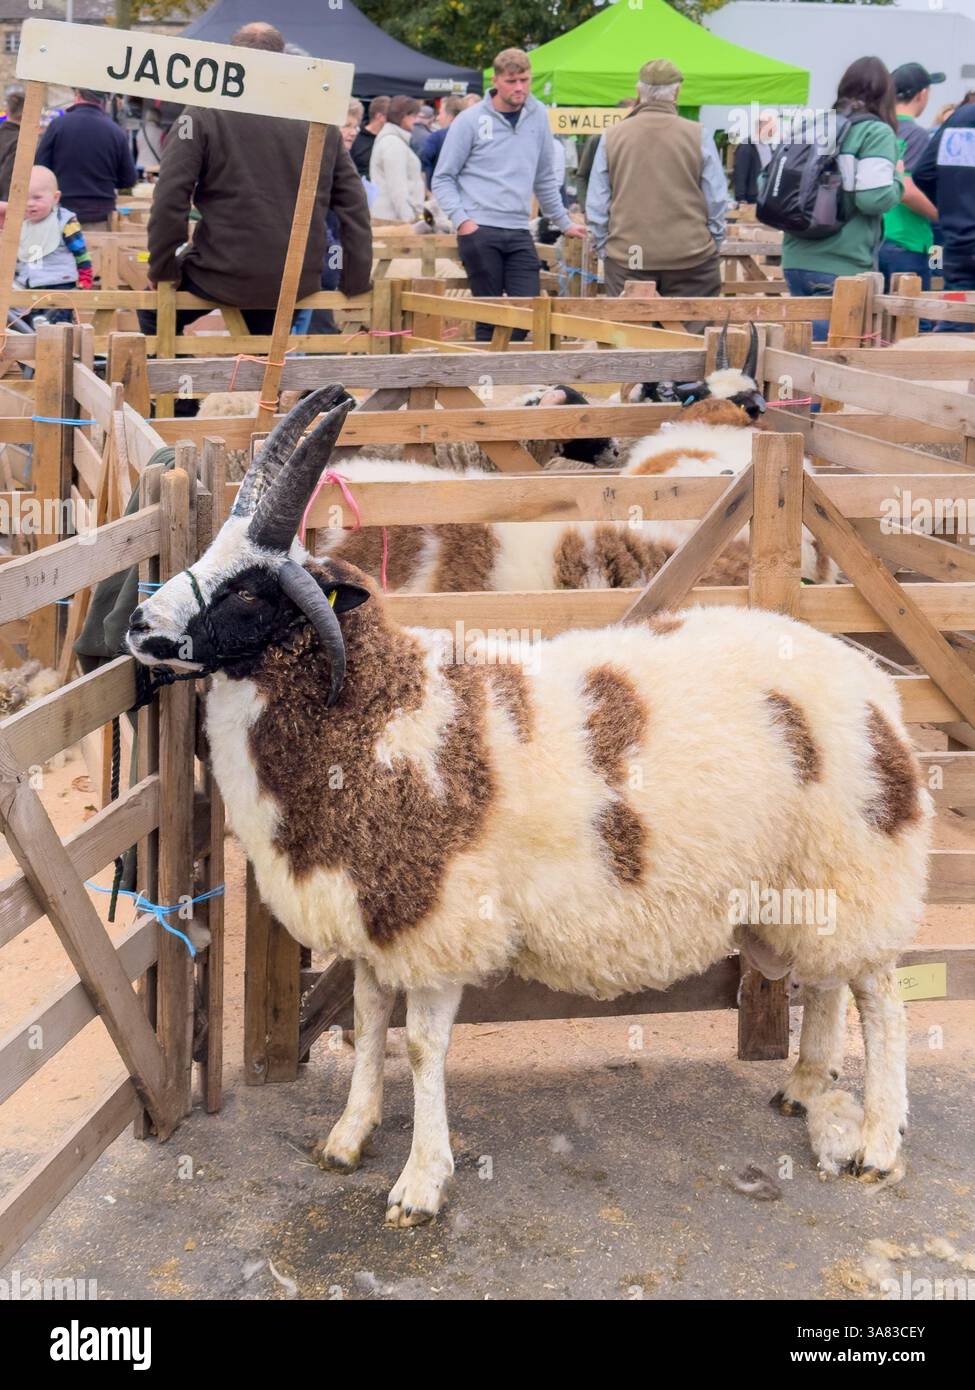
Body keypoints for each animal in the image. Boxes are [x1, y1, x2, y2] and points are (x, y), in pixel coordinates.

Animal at [127, 386, 932, 1226]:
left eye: (249, 591)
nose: (140, 628)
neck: (375, 706)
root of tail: (874, 686)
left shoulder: (438, 917)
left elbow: (421, 1047)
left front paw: (421, 1182)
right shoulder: (378, 909)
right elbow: (370, 1019)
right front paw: (347, 1137)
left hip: (857, 869)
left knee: (882, 1000)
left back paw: (877, 1144)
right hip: (810, 883)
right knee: (829, 980)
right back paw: (803, 1088)